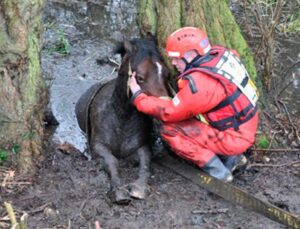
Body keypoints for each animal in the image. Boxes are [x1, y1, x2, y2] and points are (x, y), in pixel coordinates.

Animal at [75, 37, 169, 204]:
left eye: (166, 74)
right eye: (140, 77)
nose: (164, 109)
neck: (121, 118)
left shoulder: (142, 146)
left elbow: (145, 163)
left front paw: (139, 188)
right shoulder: (98, 147)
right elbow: (113, 162)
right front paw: (118, 191)